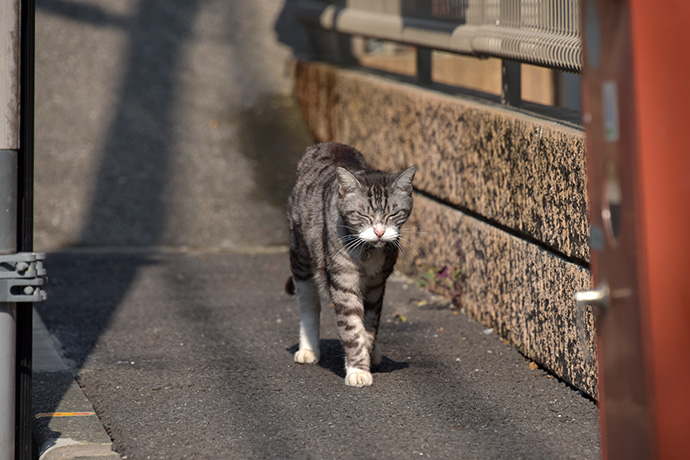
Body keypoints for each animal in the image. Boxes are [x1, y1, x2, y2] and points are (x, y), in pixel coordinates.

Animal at [284, 142, 414, 386]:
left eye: (393, 214)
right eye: (362, 215)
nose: (380, 232)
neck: (369, 250)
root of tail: (326, 145)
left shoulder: (377, 285)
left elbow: (370, 325)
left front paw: (368, 353)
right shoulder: (343, 281)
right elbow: (352, 328)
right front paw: (358, 370)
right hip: (301, 258)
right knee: (308, 305)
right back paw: (308, 349)